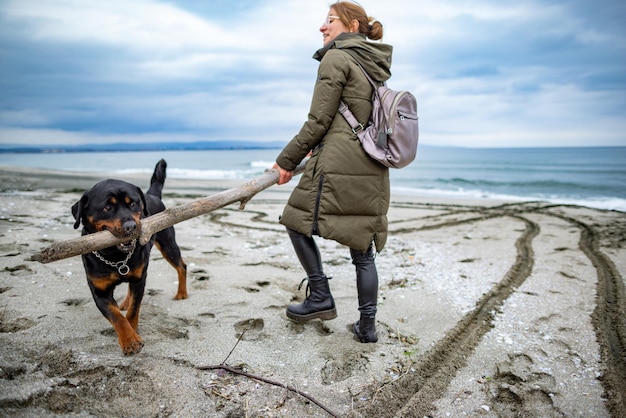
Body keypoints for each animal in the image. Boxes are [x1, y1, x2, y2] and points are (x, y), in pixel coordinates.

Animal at [72, 158, 186, 354]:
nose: (131, 226)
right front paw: (130, 340)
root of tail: (152, 195)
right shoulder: (99, 291)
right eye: (107, 207)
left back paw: (182, 293)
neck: (115, 256)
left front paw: (133, 333)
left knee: (181, 266)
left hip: (168, 244)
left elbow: (134, 309)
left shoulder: (140, 278)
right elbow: (116, 316)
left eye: (133, 204)